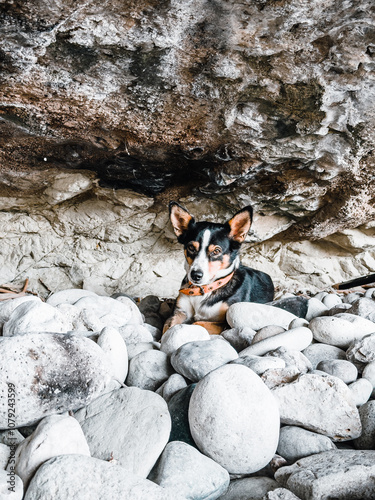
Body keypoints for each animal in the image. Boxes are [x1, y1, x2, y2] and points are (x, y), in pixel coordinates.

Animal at [163, 201, 274, 334]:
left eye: (216, 251)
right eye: (191, 247)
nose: (195, 275)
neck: (204, 290)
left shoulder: (228, 323)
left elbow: (197, 323)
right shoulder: (178, 312)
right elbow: (168, 328)